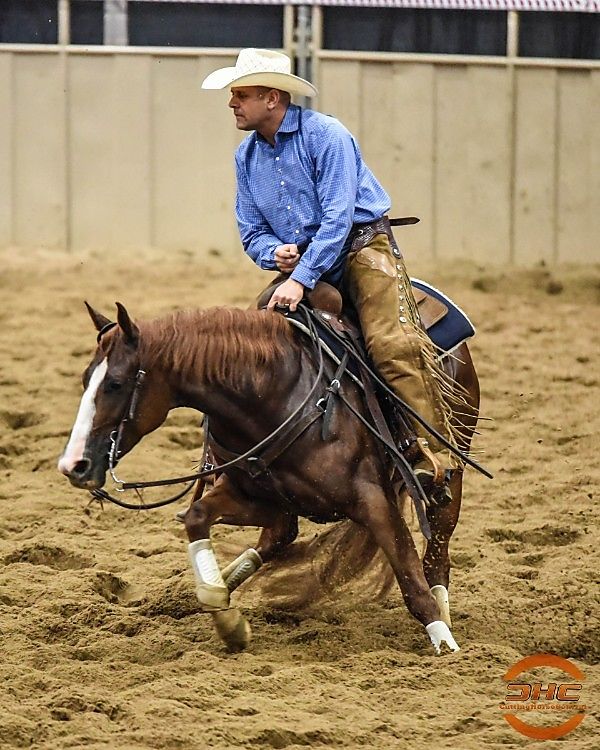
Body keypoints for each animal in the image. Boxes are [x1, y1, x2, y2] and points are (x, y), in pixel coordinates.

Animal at [58, 295, 480, 654]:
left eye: (115, 384)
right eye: (85, 379)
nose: (74, 465)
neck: (274, 395)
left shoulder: (371, 500)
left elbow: (410, 576)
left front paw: (445, 644)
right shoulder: (255, 495)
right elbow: (197, 518)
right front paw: (227, 620)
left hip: (452, 468)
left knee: (437, 552)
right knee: (277, 537)